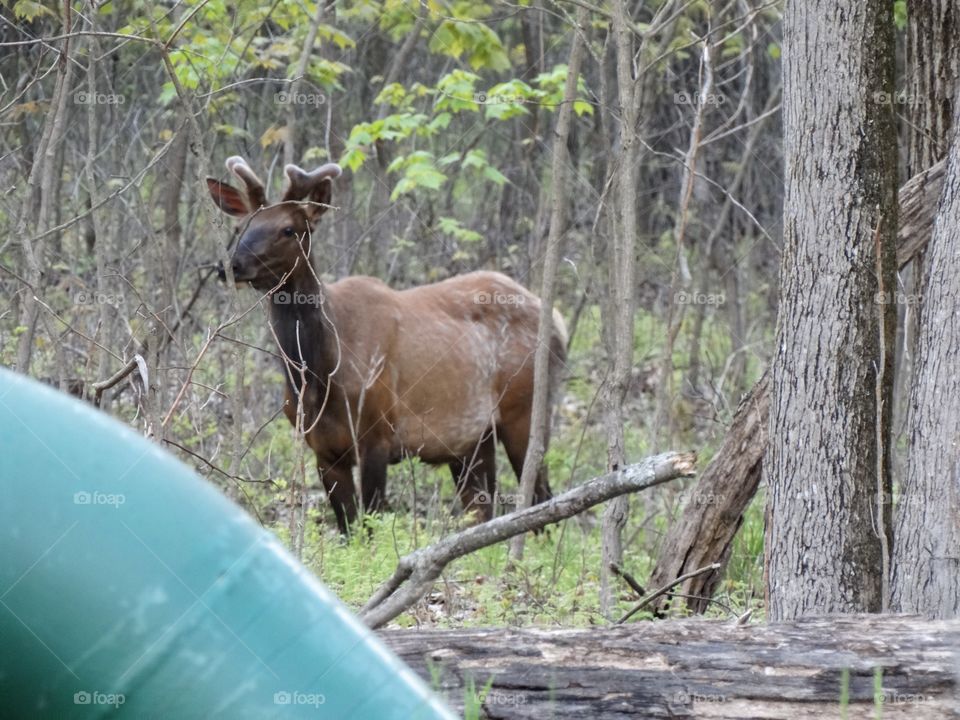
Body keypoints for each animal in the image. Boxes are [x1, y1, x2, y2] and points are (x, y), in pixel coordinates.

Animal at [207, 156, 567, 534]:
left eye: (289, 228)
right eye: (242, 225)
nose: (229, 266)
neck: (321, 377)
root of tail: (557, 320)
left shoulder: (377, 435)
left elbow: (369, 526)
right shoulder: (322, 450)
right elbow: (348, 530)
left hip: (526, 408)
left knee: (541, 501)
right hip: (473, 439)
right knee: (483, 510)